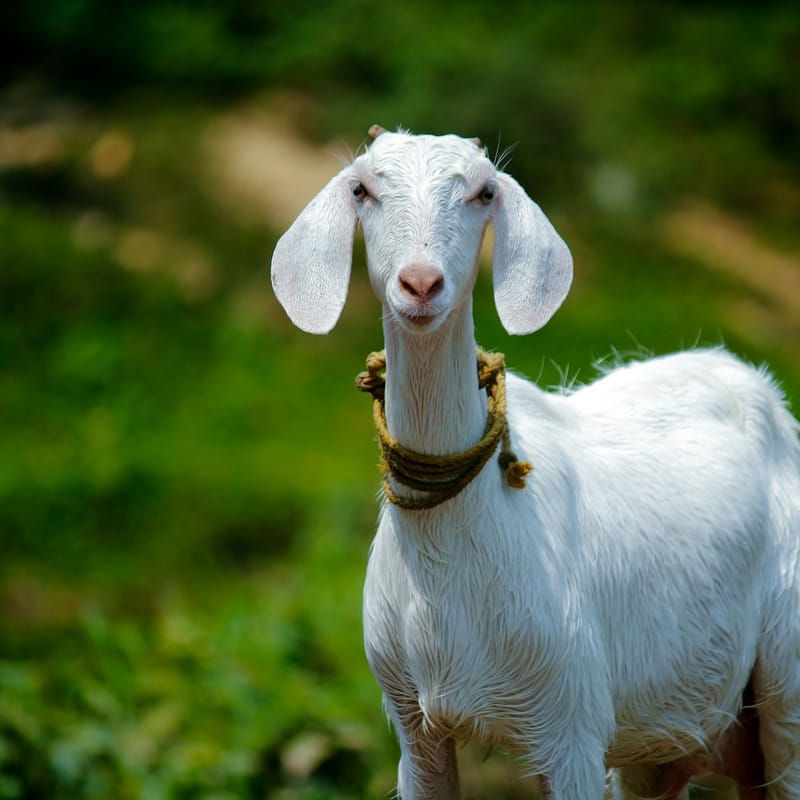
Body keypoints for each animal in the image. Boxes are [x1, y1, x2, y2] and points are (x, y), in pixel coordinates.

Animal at [270, 127, 800, 800]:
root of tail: (755, 386)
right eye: (362, 189)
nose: (420, 284)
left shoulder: (572, 725)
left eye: (483, 191)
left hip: (788, 682)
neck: (453, 552)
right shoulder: (414, 727)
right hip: (663, 741)